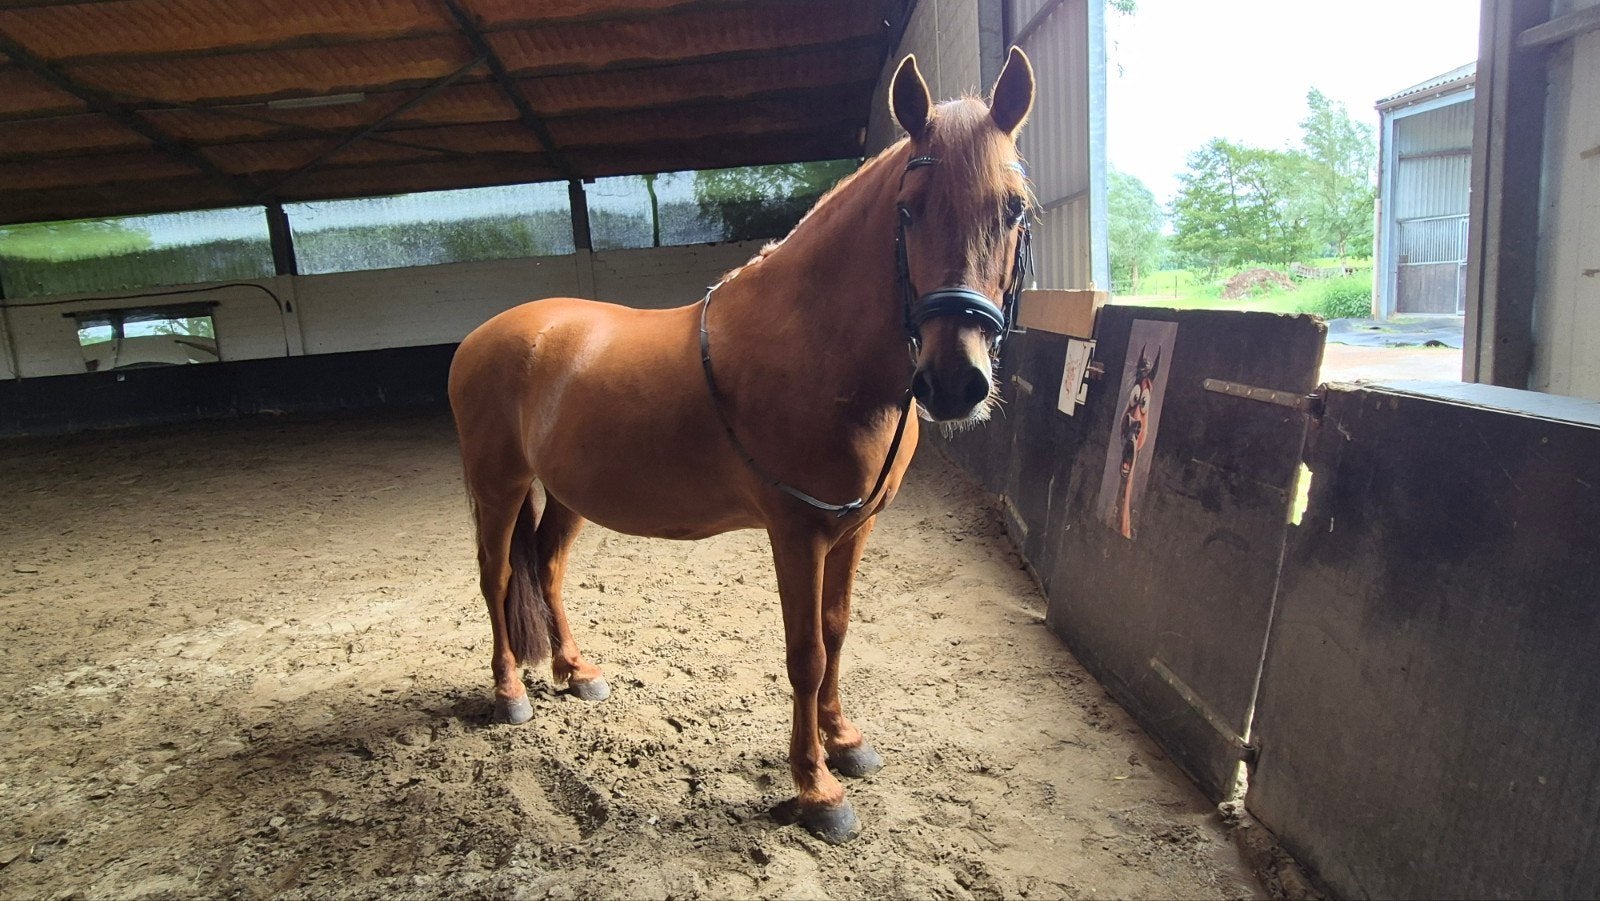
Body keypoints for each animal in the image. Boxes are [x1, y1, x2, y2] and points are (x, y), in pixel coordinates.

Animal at [447, 48, 1036, 844]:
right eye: (909, 208)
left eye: (1014, 208)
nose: (953, 381)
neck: (820, 351)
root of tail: (487, 334)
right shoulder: (797, 533)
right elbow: (806, 653)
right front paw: (817, 788)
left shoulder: (854, 529)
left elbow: (837, 631)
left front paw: (846, 741)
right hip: (498, 485)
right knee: (499, 576)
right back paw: (510, 692)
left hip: (567, 494)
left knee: (546, 567)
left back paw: (576, 671)